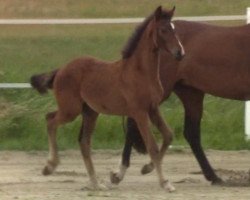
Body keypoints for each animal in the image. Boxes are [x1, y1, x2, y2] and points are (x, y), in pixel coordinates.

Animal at [30, 5, 185, 191]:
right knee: (51, 120)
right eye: (163, 30)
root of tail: (60, 70)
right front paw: (165, 183)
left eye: (174, 28)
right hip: (71, 110)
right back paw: (50, 166)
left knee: (84, 141)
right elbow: (152, 146)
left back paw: (95, 182)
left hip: (90, 112)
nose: (180, 53)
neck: (140, 71)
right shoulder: (139, 112)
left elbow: (168, 135)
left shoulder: (153, 108)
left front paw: (146, 168)